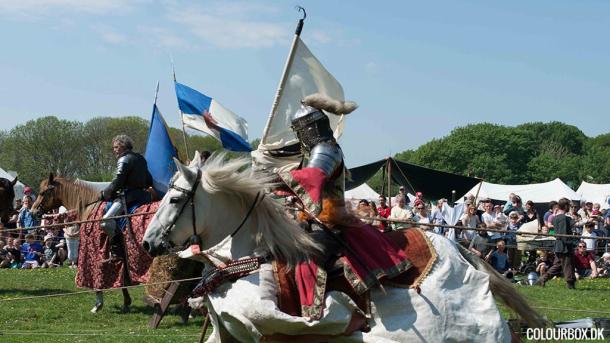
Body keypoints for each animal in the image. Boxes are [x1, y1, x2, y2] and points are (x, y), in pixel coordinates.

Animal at [31, 175, 157, 314]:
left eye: (43, 192)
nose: (33, 211)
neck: (89, 208)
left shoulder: (94, 254)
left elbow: (98, 279)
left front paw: (98, 305)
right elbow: (123, 279)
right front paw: (126, 302)